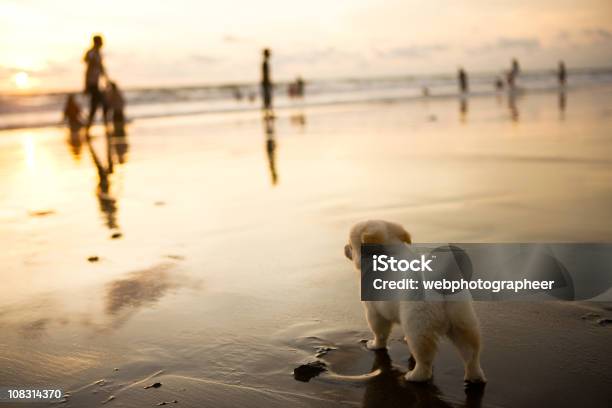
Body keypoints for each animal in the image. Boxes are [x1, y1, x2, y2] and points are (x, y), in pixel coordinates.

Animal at [346, 220, 486, 382]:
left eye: (350, 246)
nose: (344, 248)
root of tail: (440, 280)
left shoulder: (374, 312)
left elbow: (379, 332)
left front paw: (374, 345)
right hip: (462, 321)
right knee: (471, 353)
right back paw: (474, 376)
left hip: (418, 324)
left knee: (424, 358)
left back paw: (413, 376)